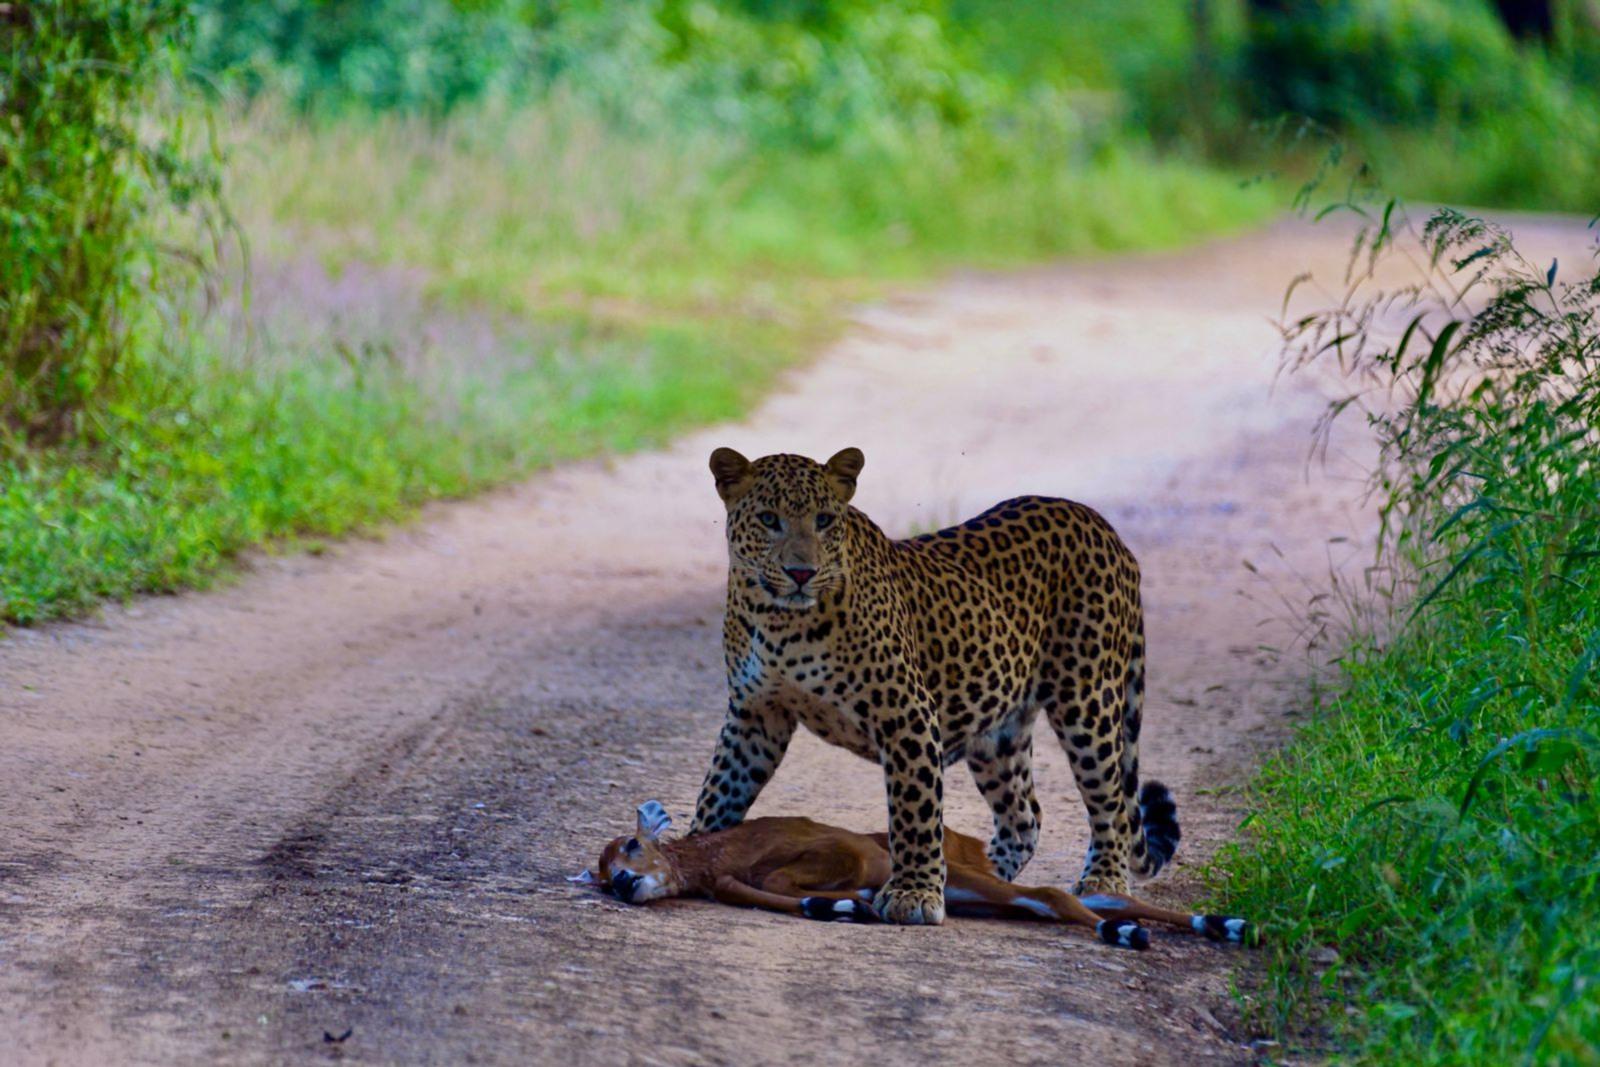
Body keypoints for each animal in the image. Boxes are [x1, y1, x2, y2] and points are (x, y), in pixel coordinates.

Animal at [689, 446, 1180, 925]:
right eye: (769, 519)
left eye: (824, 520)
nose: (801, 573)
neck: (779, 621)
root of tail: (1101, 525)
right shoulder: (757, 714)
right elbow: (720, 789)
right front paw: (694, 851)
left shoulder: (906, 712)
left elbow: (915, 809)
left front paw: (915, 892)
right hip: (997, 732)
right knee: (1026, 815)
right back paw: (985, 871)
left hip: (1088, 702)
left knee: (1111, 803)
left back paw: (1104, 880)